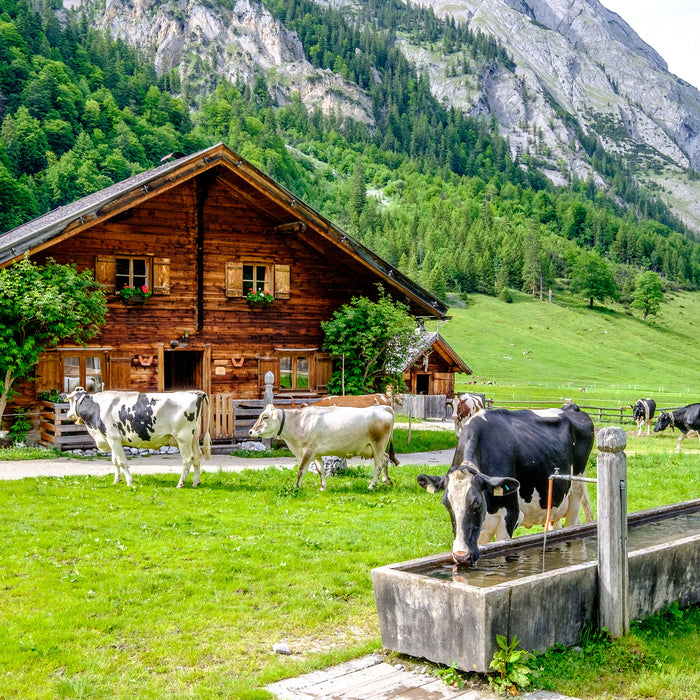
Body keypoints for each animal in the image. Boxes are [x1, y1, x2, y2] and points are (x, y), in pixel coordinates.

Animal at [63, 388, 211, 486]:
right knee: (197, 457)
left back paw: (181, 484)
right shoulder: (112, 439)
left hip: (183, 438)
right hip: (194, 437)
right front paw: (116, 480)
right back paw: (196, 482)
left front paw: (129, 482)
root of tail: (194, 393)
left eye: (69, 401)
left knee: (187, 459)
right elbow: (115, 461)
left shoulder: (113, 437)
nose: (68, 414)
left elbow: (122, 462)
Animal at [250, 402, 394, 490]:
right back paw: (387, 480)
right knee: (386, 459)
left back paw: (371, 485)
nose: (251, 431)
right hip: (375, 448)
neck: (299, 422)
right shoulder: (316, 453)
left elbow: (301, 469)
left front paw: (297, 486)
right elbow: (321, 469)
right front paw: (323, 486)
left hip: (378, 445)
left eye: (265, 417)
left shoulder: (308, 450)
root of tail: (381, 407)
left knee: (378, 465)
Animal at [418, 404, 592, 564]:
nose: (461, 556)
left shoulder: (511, 516)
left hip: (576, 492)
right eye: (446, 504)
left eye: (477, 503)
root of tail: (571, 407)